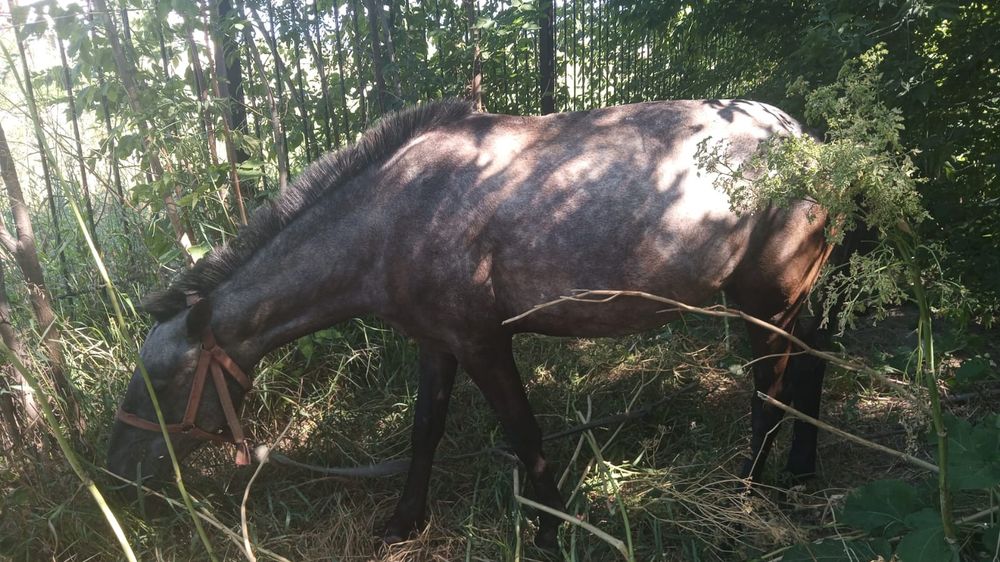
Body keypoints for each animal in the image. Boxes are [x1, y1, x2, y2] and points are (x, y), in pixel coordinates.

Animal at [107, 98, 838, 547]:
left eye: (163, 385)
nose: (116, 480)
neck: (395, 214)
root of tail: (805, 140)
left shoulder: (484, 343)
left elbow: (522, 430)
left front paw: (549, 529)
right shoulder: (437, 344)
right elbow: (425, 431)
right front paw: (404, 521)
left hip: (765, 304)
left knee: (769, 392)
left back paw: (743, 497)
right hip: (800, 301)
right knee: (812, 364)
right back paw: (803, 473)